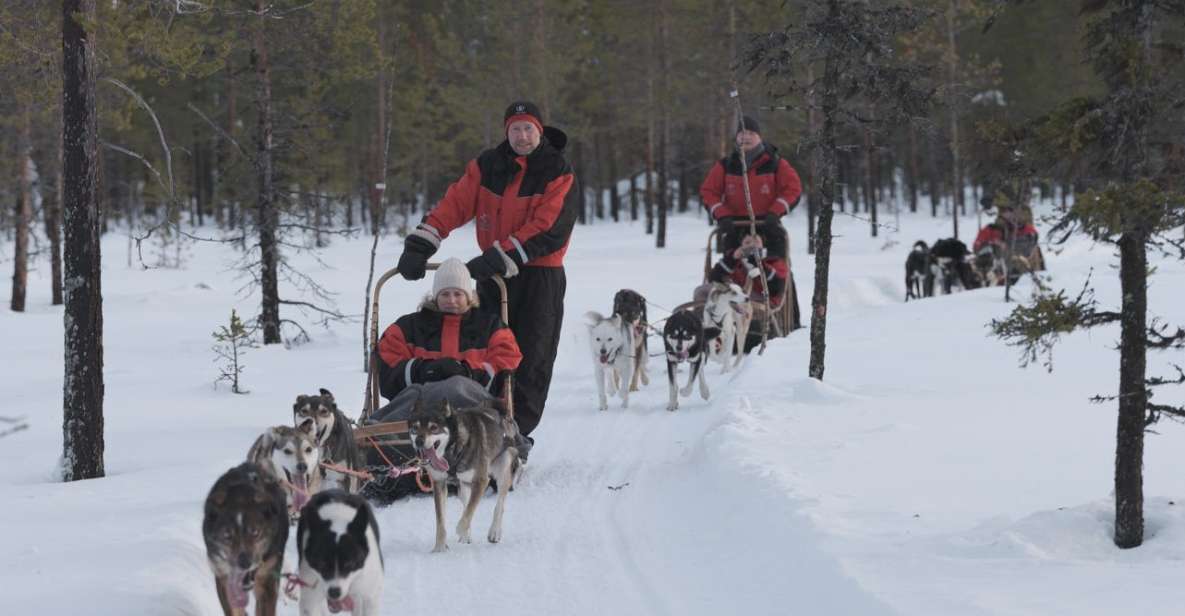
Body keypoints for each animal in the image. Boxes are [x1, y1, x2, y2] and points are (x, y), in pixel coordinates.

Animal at [407, 400, 519, 554]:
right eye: (415, 427)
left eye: (434, 427)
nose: (419, 441)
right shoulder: (439, 483)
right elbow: (441, 521)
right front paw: (439, 547)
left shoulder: (481, 481)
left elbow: (467, 515)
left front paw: (461, 531)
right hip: (463, 485)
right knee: (466, 504)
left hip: (503, 466)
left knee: (499, 504)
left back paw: (494, 532)